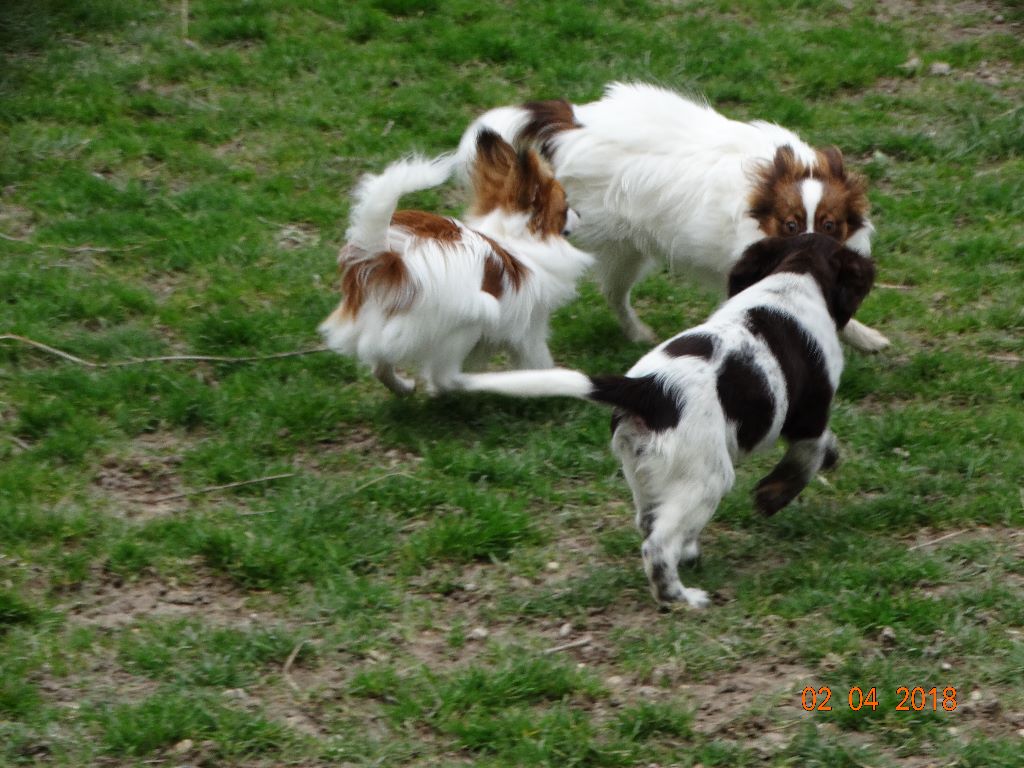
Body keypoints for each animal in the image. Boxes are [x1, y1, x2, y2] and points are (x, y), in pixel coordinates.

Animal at [319, 129, 593, 393]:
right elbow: (538, 360)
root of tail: (386, 261)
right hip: (473, 317)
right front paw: (549, 382)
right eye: (565, 207)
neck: (513, 238)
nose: (580, 214)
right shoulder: (530, 329)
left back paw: (404, 388)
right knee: (446, 379)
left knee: (381, 367)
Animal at [456, 80, 888, 352]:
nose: (811, 249)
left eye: (830, 225)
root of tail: (574, 121)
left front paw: (864, 337)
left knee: (612, 292)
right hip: (609, 240)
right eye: (791, 225)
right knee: (609, 290)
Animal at [460, 233, 876, 606]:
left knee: (651, 523)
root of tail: (647, 389)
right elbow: (806, 458)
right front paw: (774, 496)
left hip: (644, 466)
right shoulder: (810, 414)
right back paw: (680, 597)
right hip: (707, 477)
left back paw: (685, 557)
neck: (795, 277)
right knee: (657, 546)